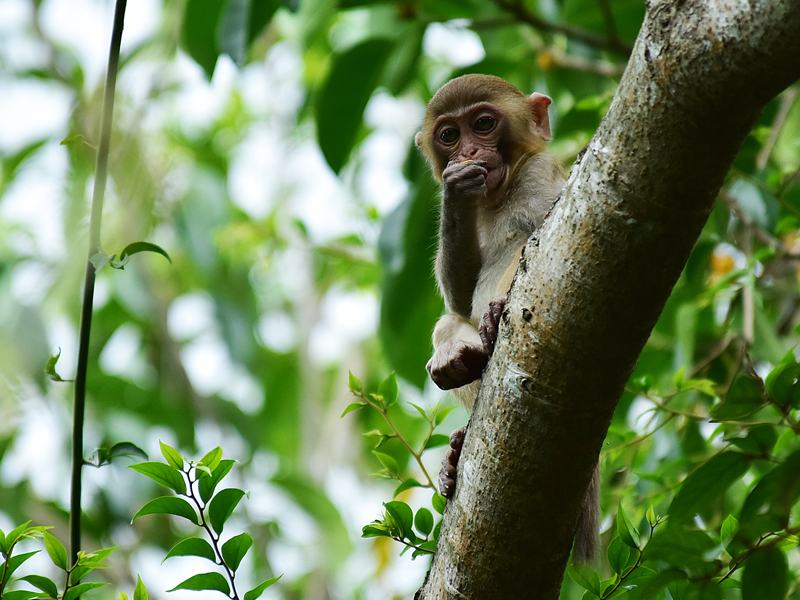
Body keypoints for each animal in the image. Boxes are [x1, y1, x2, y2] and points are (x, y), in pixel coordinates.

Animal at [418, 74, 600, 564]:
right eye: (449, 135)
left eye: (483, 124)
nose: (467, 152)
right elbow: (458, 299)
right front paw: (455, 191)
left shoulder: (539, 174)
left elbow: (542, 235)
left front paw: (497, 310)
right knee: (450, 322)